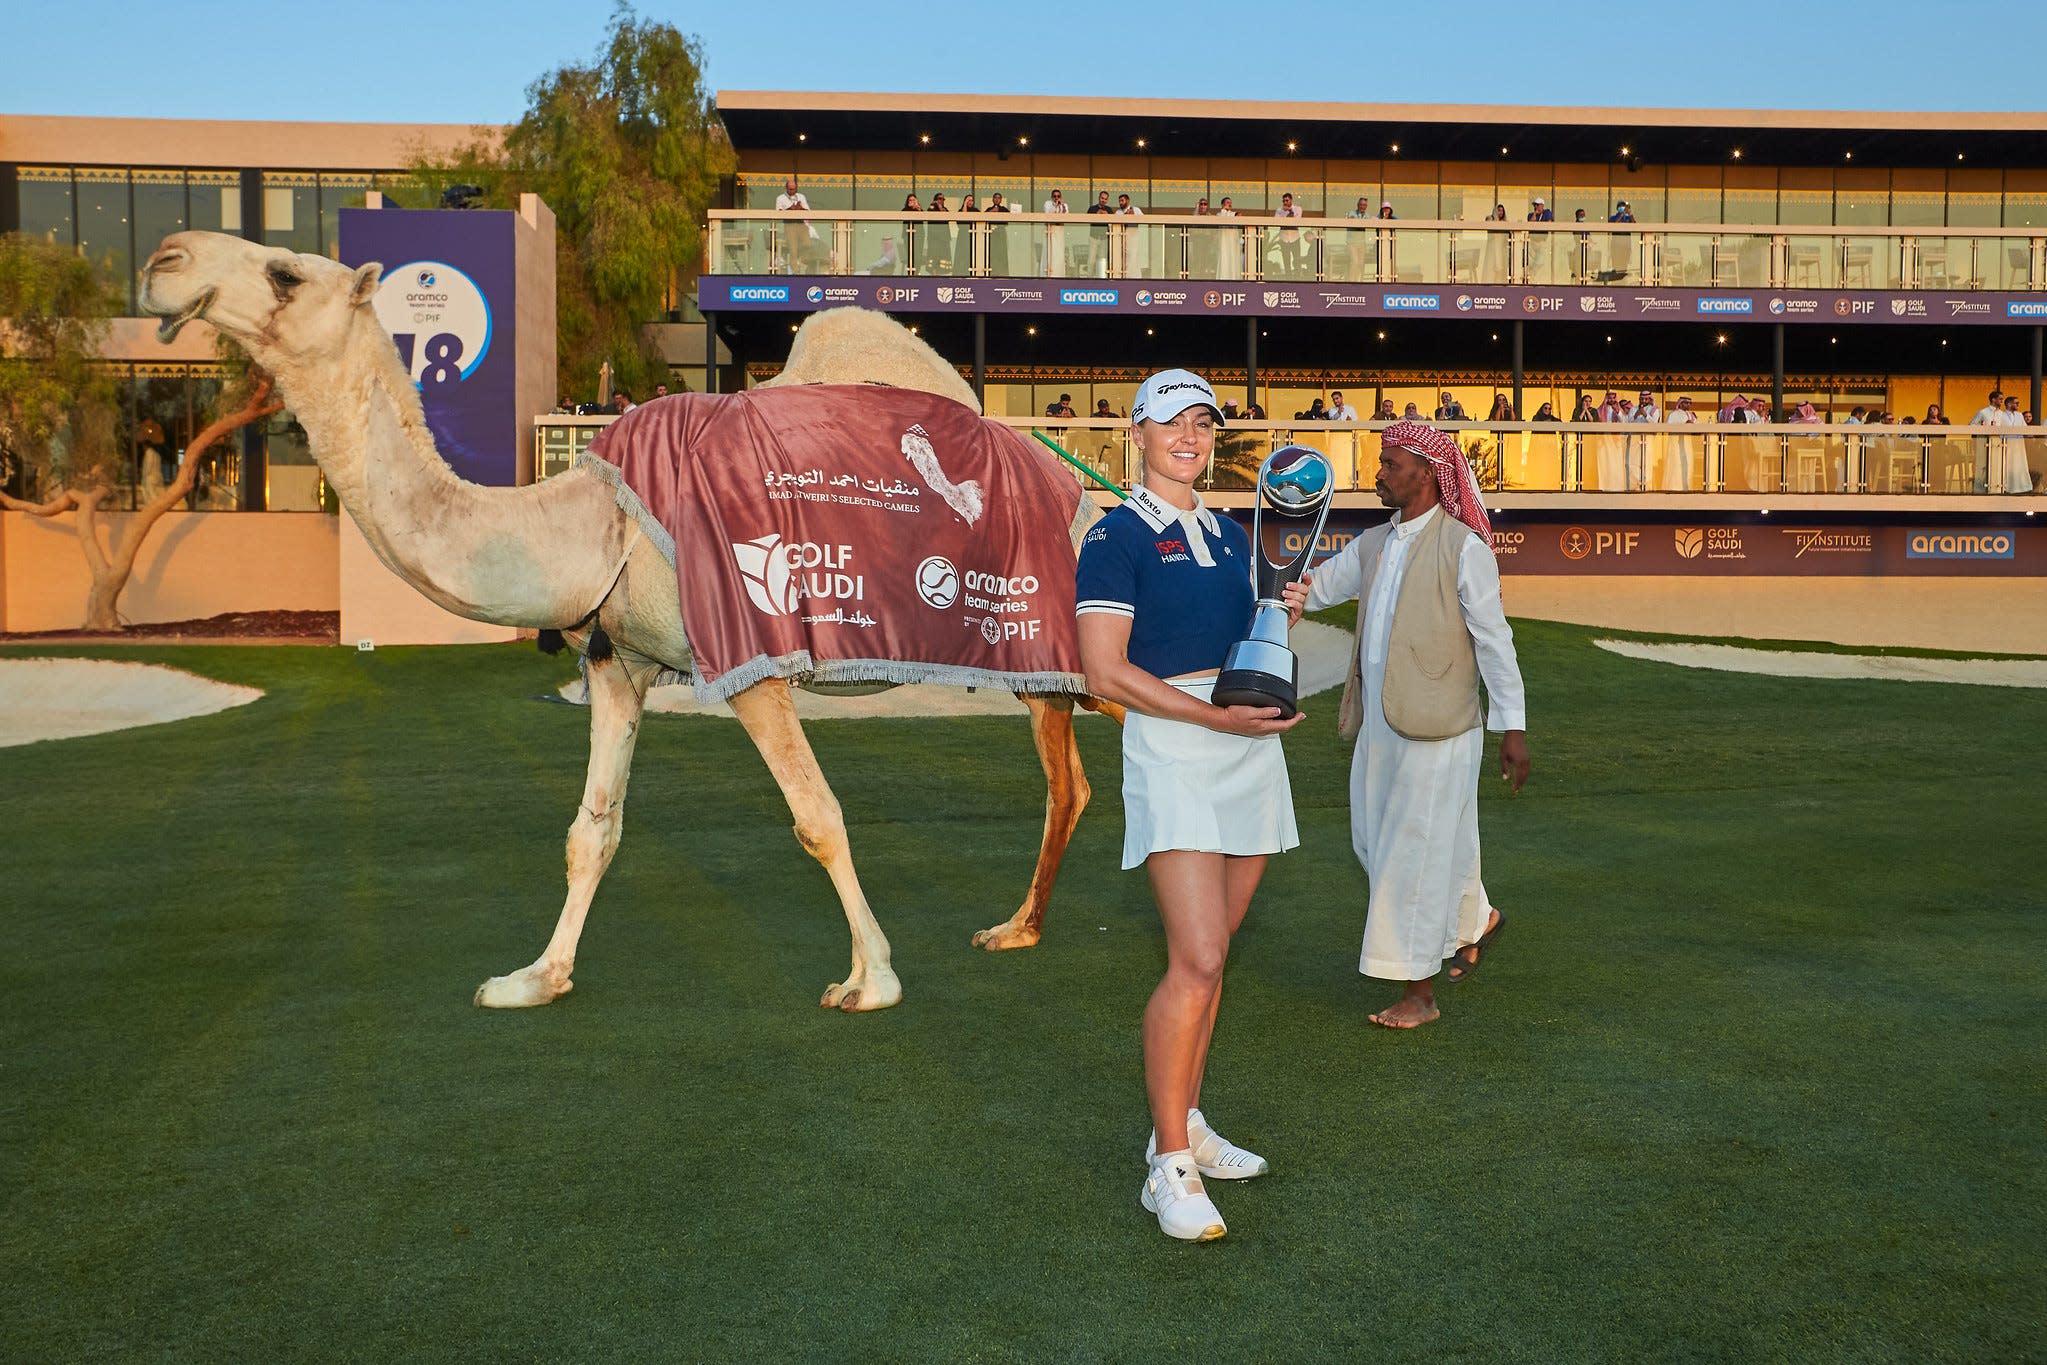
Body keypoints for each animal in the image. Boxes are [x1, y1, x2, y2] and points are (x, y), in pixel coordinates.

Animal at [142, 227, 1105, 1015]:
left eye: (286, 271)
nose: (163, 259)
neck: (592, 523)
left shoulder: (749, 657)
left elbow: (817, 815)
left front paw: (870, 978)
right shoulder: (617, 661)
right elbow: (591, 830)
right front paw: (534, 976)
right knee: (1071, 781)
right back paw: (1018, 927)